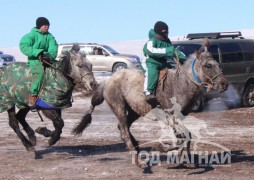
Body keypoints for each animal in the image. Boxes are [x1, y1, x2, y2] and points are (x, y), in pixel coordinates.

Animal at [72, 39, 228, 166]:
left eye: (217, 64)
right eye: (208, 66)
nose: (224, 84)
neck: (180, 84)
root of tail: (107, 80)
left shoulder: (179, 118)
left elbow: (186, 136)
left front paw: (185, 159)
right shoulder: (170, 117)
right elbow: (180, 138)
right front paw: (160, 148)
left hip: (134, 110)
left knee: (123, 127)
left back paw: (137, 147)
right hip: (119, 107)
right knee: (124, 131)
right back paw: (136, 159)